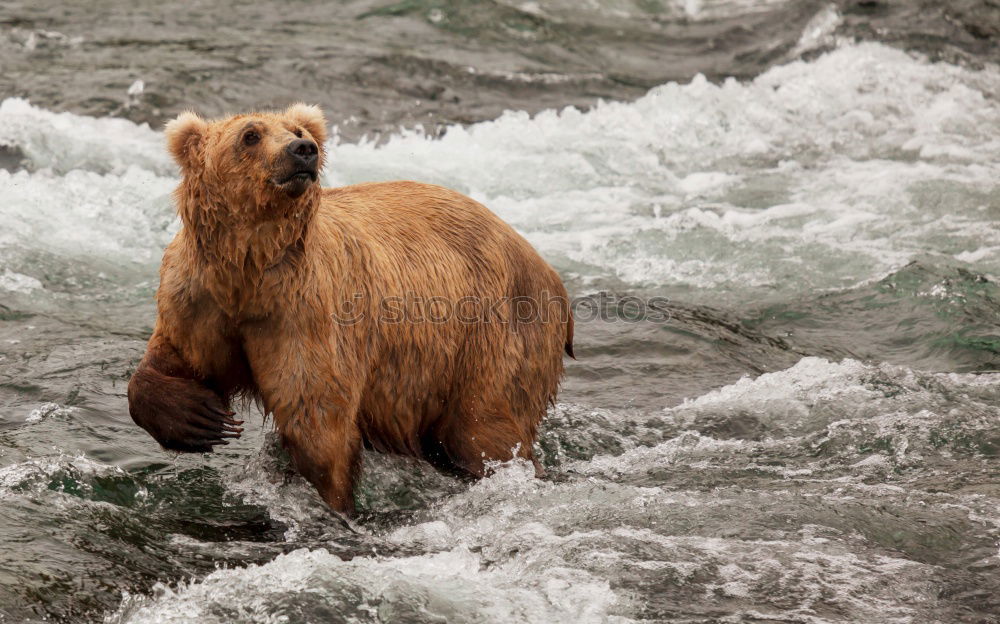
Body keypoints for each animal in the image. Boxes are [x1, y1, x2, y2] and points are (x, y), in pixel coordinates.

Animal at [129, 103, 576, 512]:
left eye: (296, 130)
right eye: (250, 135)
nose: (303, 150)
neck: (250, 271)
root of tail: (545, 265)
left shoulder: (305, 314)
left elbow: (317, 421)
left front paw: (330, 501)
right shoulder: (200, 300)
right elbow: (172, 360)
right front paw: (198, 417)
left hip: (494, 332)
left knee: (485, 429)